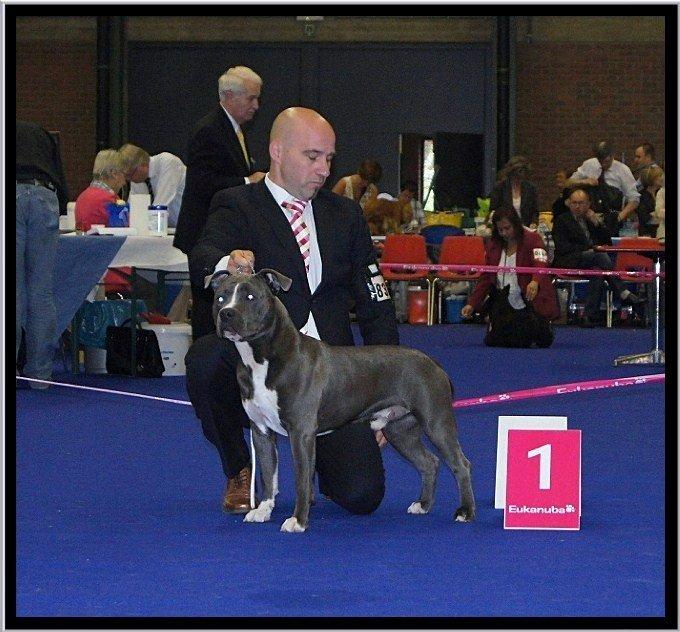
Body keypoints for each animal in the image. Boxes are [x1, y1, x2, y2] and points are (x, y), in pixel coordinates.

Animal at [206, 268, 475, 533]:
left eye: (251, 297)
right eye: (220, 297)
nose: (226, 313)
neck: (262, 358)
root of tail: (435, 364)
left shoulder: (301, 432)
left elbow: (302, 480)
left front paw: (298, 521)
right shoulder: (260, 430)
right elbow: (268, 473)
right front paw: (263, 510)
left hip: (436, 422)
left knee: (460, 464)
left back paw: (465, 512)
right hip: (400, 429)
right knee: (429, 463)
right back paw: (423, 505)